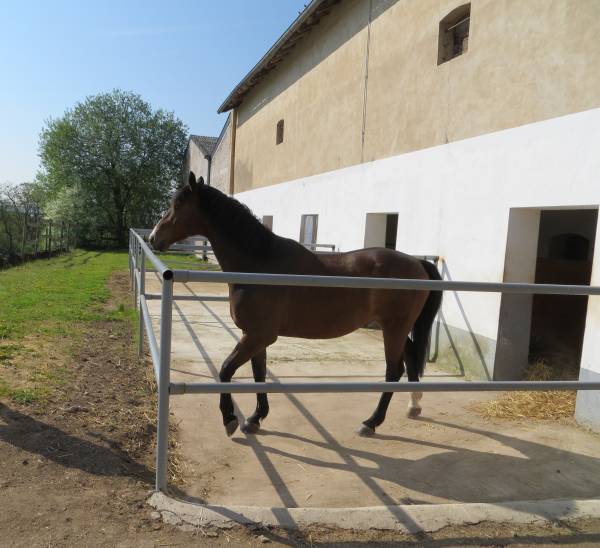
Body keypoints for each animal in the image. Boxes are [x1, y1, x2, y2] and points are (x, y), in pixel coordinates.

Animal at [149, 172, 442, 438]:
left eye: (178, 204)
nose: (153, 238)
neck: (259, 262)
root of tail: (416, 262)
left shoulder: (258, 335)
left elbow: (225, 371)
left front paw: (230, 419)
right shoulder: (254, 336)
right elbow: (258, 375)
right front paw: (255, 418)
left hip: (394, 328)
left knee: (394, 371)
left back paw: (371, 422)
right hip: (394, 327)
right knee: (411, 358)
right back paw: (414, 405)